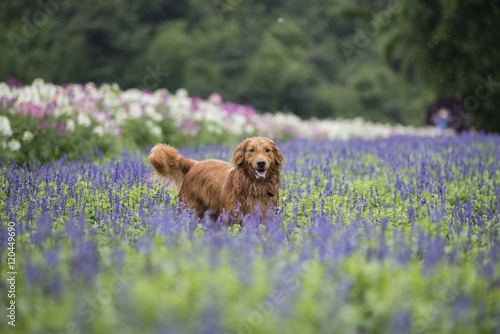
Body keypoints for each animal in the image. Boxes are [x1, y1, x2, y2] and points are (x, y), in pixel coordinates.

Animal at [148, 137, 284, 223]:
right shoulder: (232, 217)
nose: (261, 163)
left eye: (267, 150)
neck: (255, 185)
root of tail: (195, 164)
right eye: (251, 150)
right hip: (191, 209)